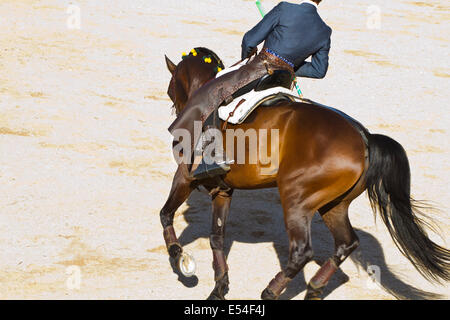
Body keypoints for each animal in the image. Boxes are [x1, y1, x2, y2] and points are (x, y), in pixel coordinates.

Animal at [160, 47, 448, 300]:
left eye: (170, 87)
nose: (174, 107)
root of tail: (365, 137)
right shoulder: (223, 190)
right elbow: (216, 238)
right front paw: (219, 288)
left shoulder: (184, 177)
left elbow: (166, 214)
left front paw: (179, 256)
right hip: (334, 204)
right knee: (346, 243)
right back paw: (314, 290)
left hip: (296, 199)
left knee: (302, 252)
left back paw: (271, 291)